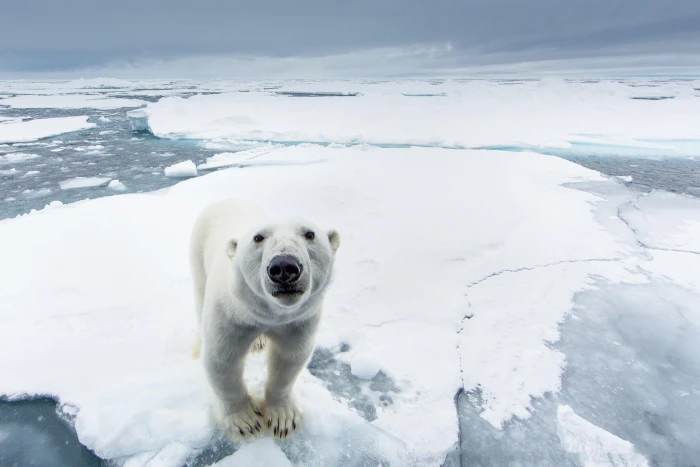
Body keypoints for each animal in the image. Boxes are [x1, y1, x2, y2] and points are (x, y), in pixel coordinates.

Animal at [189, 199, 340, 439]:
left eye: (310, 234)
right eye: (258, 238)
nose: (284, 267)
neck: (268, 314)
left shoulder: (297, 320)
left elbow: (289, 358)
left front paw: (283, 417)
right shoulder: (230, 315)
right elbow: (222, 359)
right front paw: (245, 420)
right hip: (198, 251)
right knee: (199, 293)